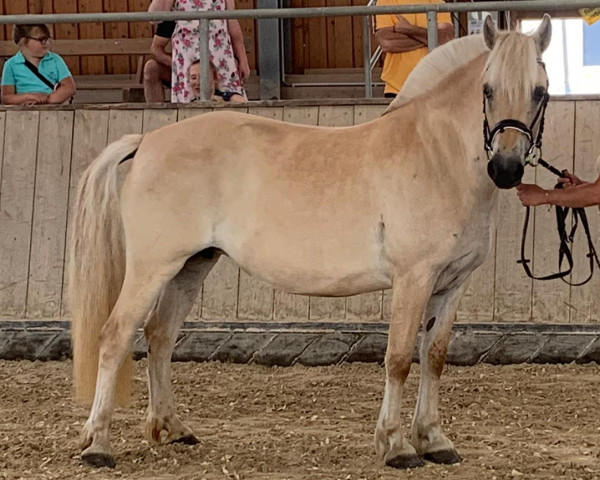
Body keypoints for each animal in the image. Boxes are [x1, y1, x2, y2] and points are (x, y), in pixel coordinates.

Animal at [69, 15, 548, 468]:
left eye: (540, 92)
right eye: (487, 89)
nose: (506, 169)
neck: (436, 155)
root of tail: (146, 141)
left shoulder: (451, 284)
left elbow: (434, 357)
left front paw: (434, 440)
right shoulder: (414, 279)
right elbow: (398, 359)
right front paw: (396, 446)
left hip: (193, 265)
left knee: (161, 336)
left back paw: (173, 428)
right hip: (153, 267)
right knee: (115, 336)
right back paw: (98, 445)